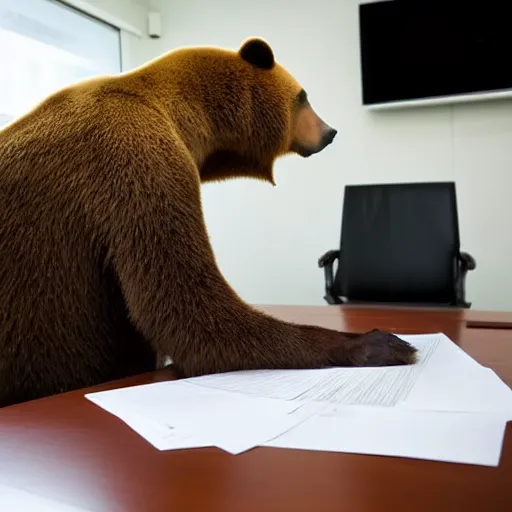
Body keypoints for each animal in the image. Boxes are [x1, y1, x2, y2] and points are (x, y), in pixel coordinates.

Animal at [0, 38, 416, 408]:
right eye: (304, 97)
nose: (330, 131)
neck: (182, 115)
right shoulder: (138, 158)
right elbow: (188, 310)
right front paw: (376, 343)